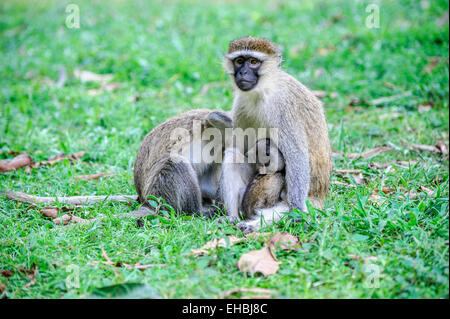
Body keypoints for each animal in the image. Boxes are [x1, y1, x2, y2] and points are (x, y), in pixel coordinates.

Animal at [220, 37, 332, 225]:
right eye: (239, 61)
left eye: (254, 62)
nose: (242, 73)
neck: (263, 91)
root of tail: (321, 194)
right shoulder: (241, 104)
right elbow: (241, 148)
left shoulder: (283, 107)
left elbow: (296, 155)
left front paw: (297, 211)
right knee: (233, 155)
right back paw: (233, 218)